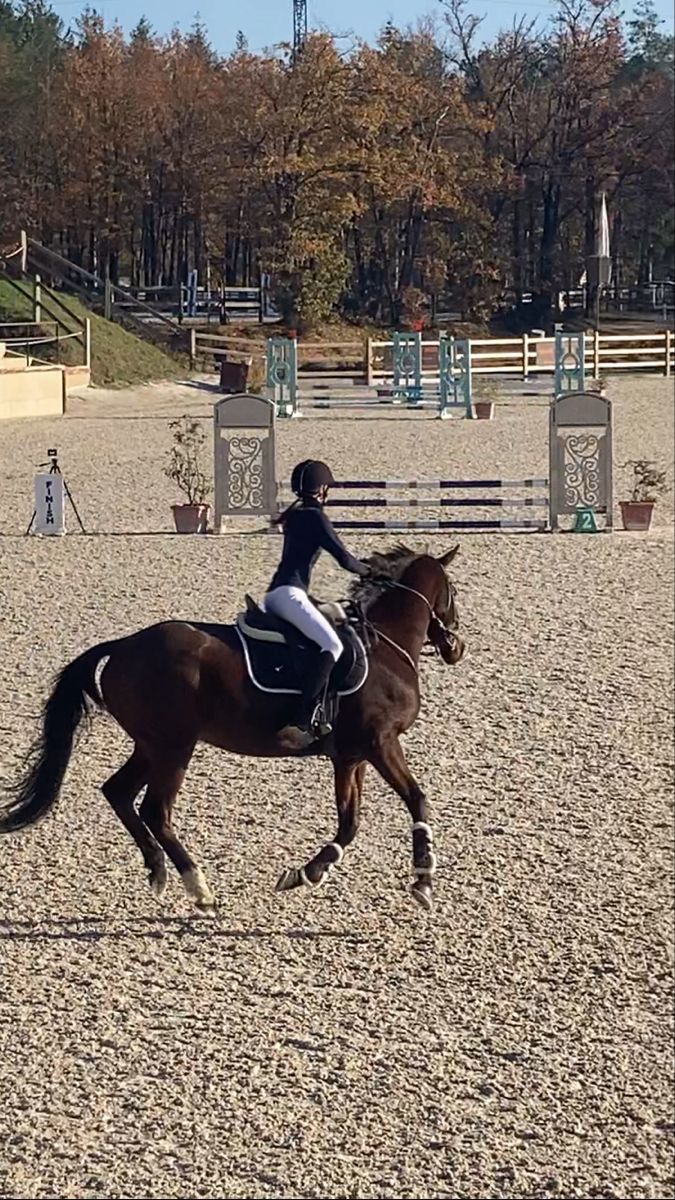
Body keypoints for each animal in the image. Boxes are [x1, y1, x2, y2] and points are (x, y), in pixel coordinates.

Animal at [0, 544, 461, 907]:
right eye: (454, 593)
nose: (455, 647)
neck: (385, 647)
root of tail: (123, 646)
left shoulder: (350, 756)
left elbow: (349, 823)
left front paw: (306, 873)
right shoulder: (381, 743)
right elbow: (417, 800)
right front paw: (424, 880)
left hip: (152, 745)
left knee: (119, 792)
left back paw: (157, 871)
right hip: (174, 746)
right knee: (155, 809)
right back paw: (198, 888)